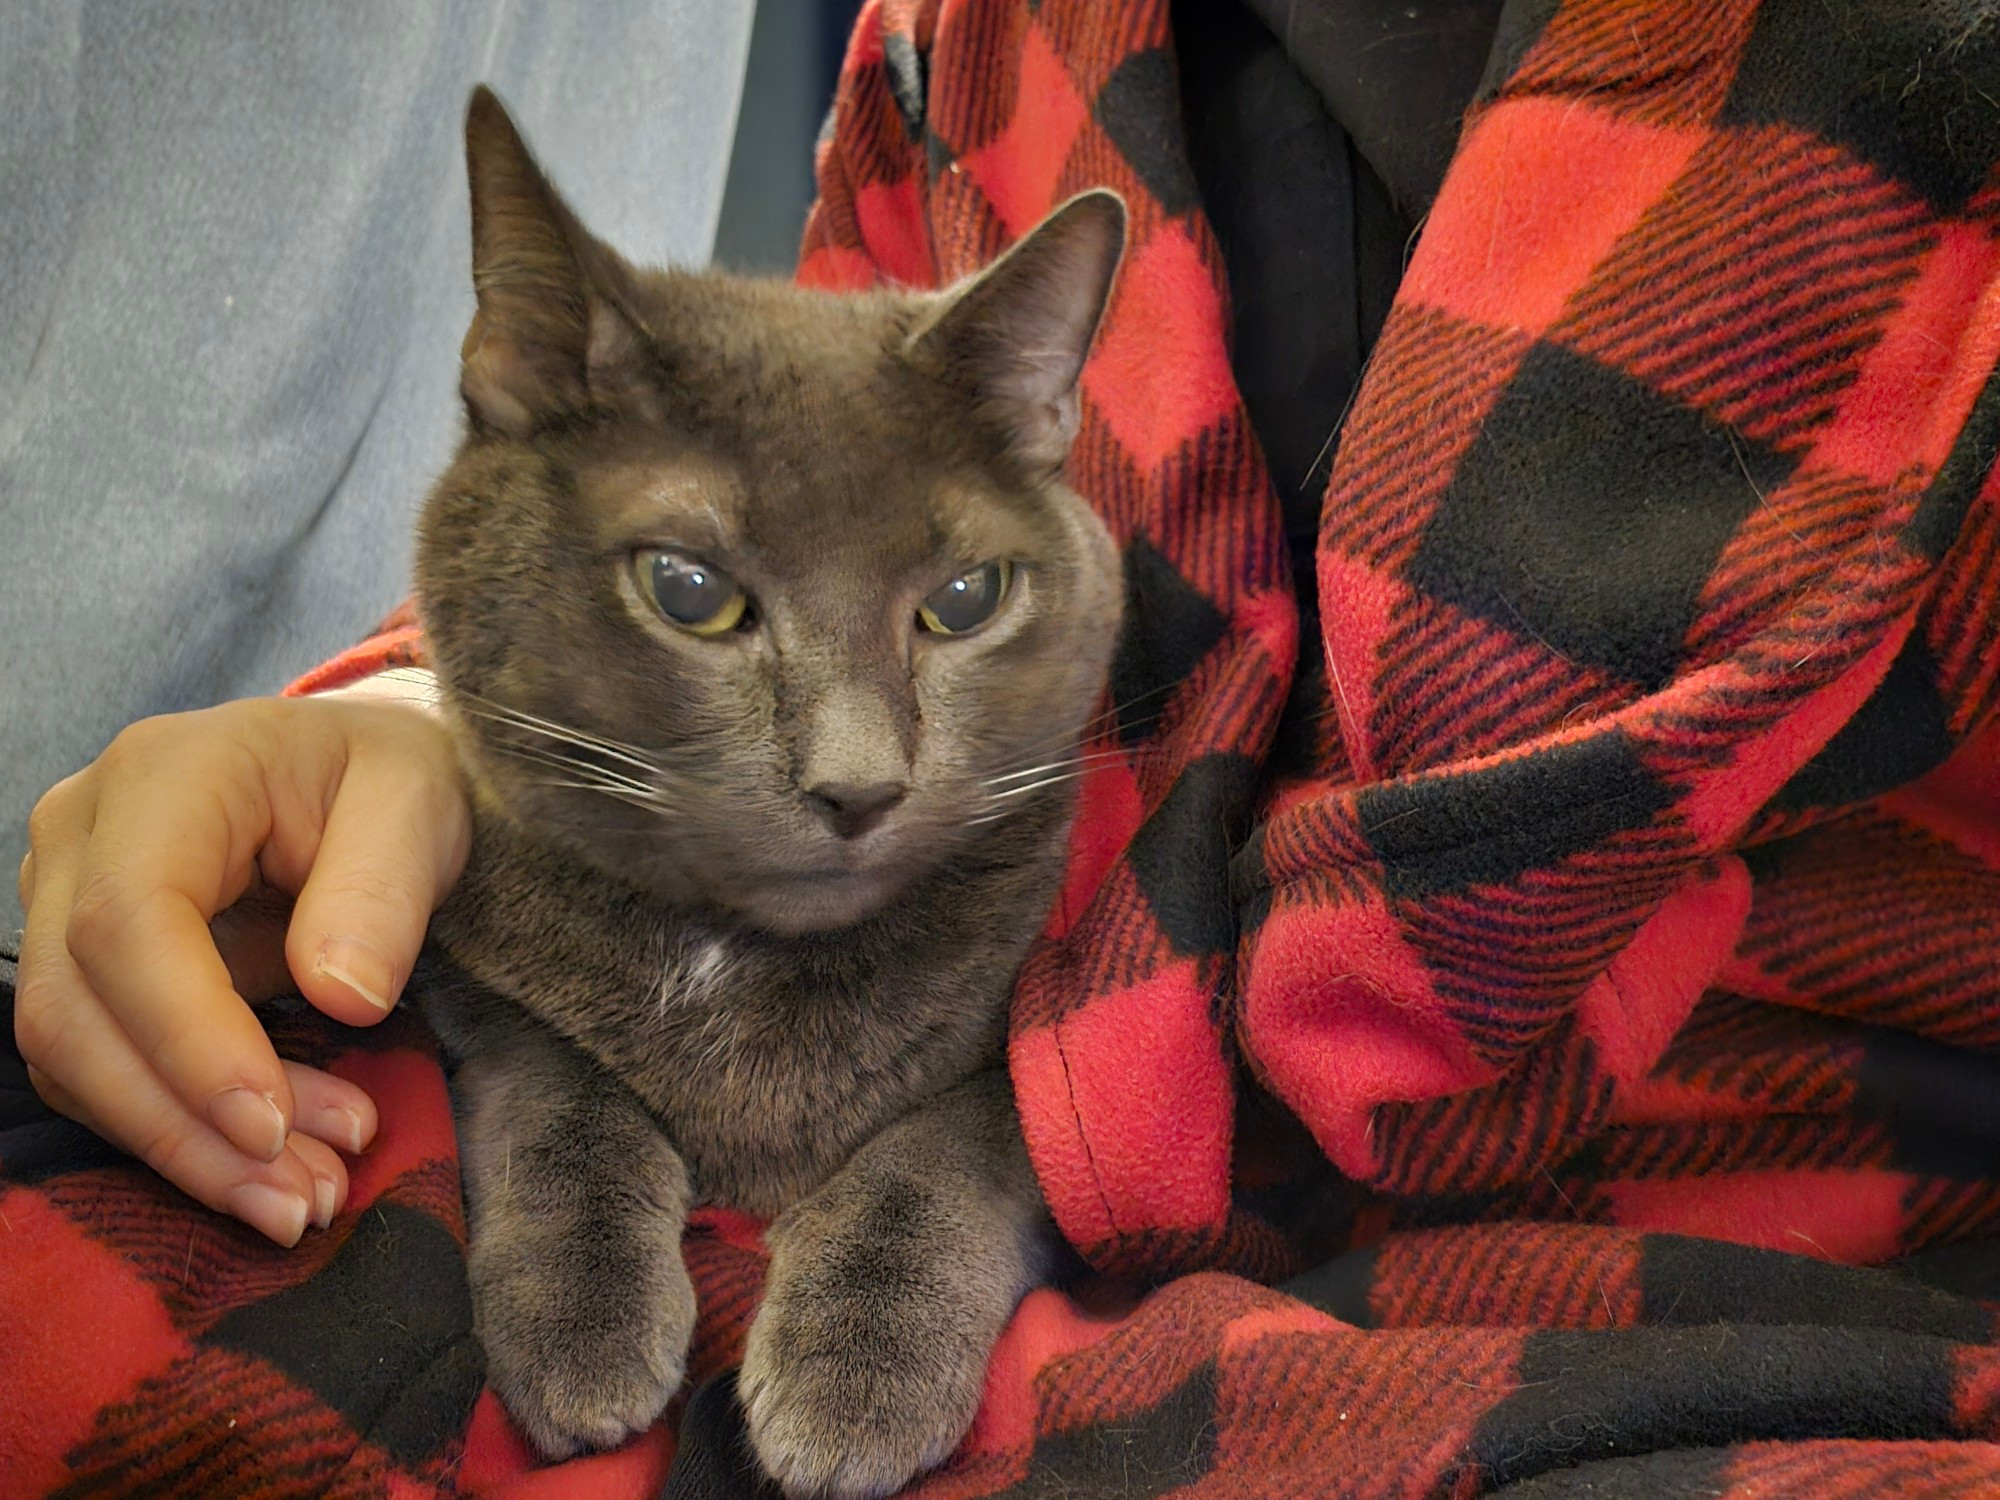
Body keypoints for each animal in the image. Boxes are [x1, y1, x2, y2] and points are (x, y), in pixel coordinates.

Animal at [410, 94, 1128, 1500]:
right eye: (689, 592)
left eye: (965, 599)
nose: (857, 786)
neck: (741, 966)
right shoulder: (470, 981)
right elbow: (560, 1096)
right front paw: (581, 1335)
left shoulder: (1023, 1039)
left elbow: (948, 1147)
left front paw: (854, 1381)